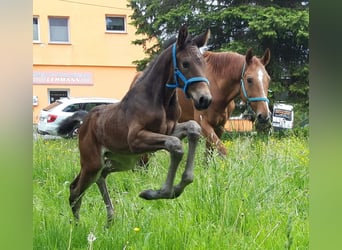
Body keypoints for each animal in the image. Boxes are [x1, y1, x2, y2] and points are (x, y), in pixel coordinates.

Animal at [56, 25, 211, 225]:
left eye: (204, 64)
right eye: (185, 64)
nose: (204, 99)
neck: (160, 100)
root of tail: (84, 122)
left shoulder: (168, 130)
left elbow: (193, 127)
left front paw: (179, 185)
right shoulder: (135, 139)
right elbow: (175, 145)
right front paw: (159, 192)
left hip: (118, 161)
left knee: (100, 178)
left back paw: (109, 220)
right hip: (92, 162)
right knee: (75, 190)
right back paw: (78, 226)